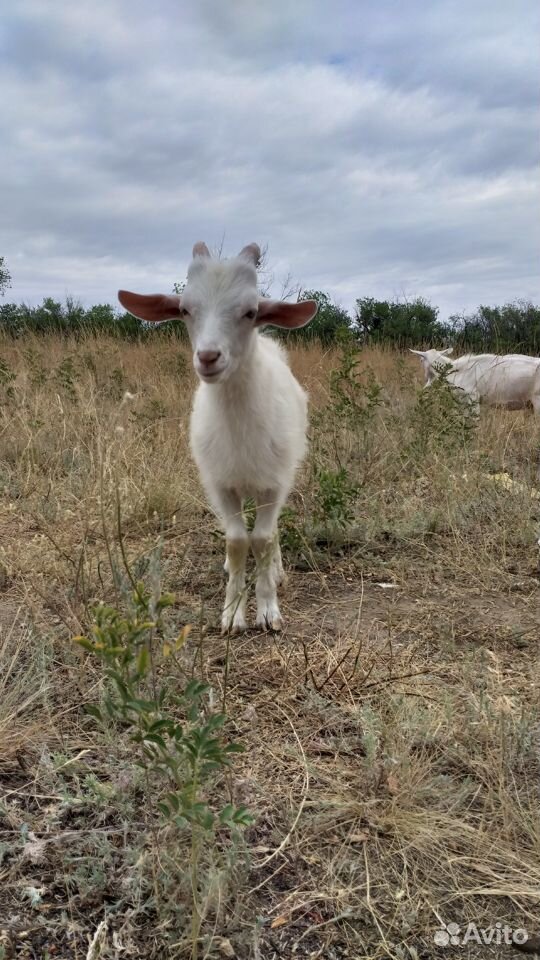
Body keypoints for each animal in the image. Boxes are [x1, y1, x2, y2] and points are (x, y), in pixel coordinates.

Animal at [117, 242, 316, 632]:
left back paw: (277, 570)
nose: (208, 357)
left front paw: (268, 610)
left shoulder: (274, 482)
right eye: (184, 310)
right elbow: (237, 541)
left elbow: (263, 538)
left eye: (251, 312)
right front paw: (233, 613)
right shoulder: (221, 484)